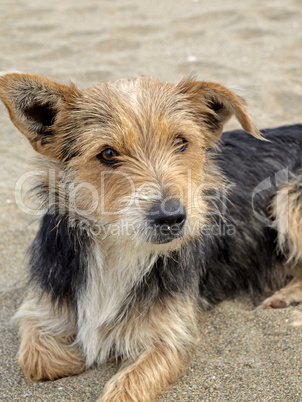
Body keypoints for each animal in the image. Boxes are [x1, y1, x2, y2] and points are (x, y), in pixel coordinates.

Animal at [0, 73, 302, 402]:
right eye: (108, 154)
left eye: (181, 142)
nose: (171, 217)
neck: (120, 250)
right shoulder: (43, 305)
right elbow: (37, 359)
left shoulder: (171, 334)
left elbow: (125, 387)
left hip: (290, 196)